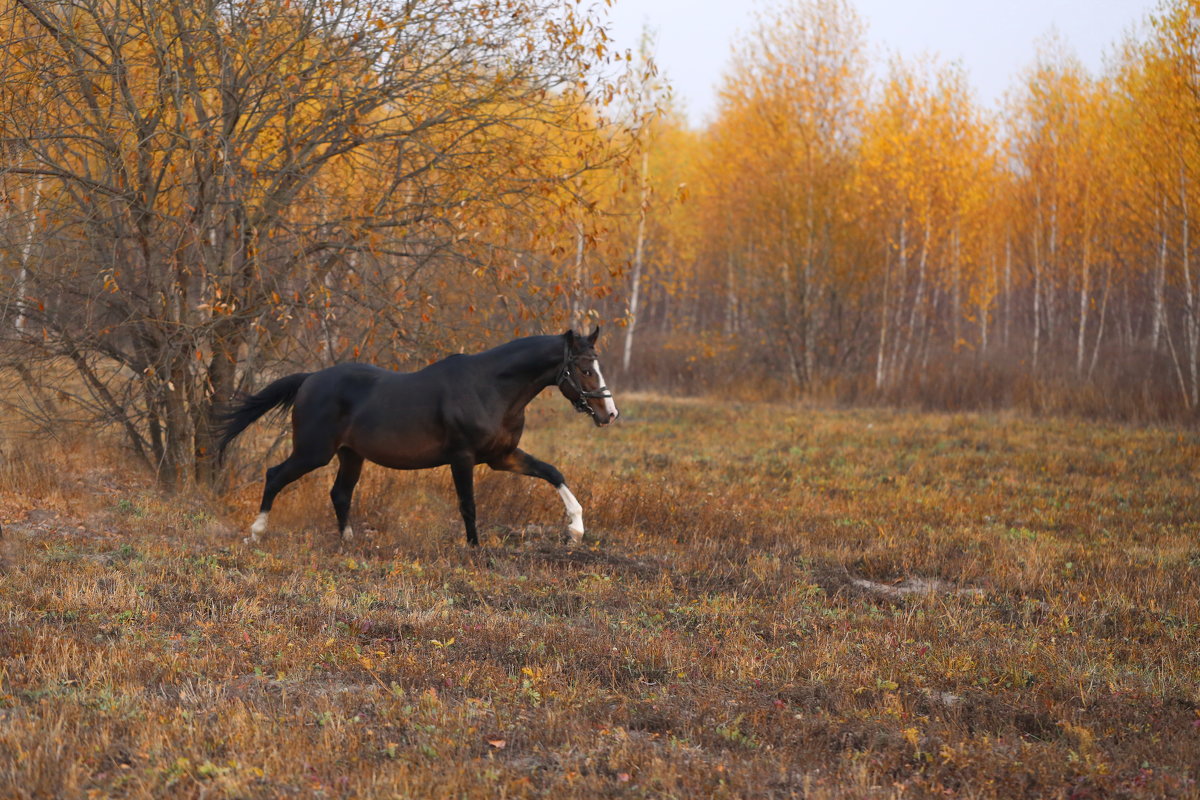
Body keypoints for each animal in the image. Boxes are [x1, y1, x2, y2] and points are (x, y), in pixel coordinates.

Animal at [214, 328, 619, 546]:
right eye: (585, 369)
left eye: (597, 366)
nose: (609, 414)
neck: (490, 387)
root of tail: (310, 379)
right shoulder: (462, 457)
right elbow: (468, 504)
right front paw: (475, 548)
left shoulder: (502, 456)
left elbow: (552, 472)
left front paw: (576, 529)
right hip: (313, 452)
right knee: (275, 476)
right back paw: (256, 532)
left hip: (350, 454)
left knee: (340, 493)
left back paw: (349, 541)